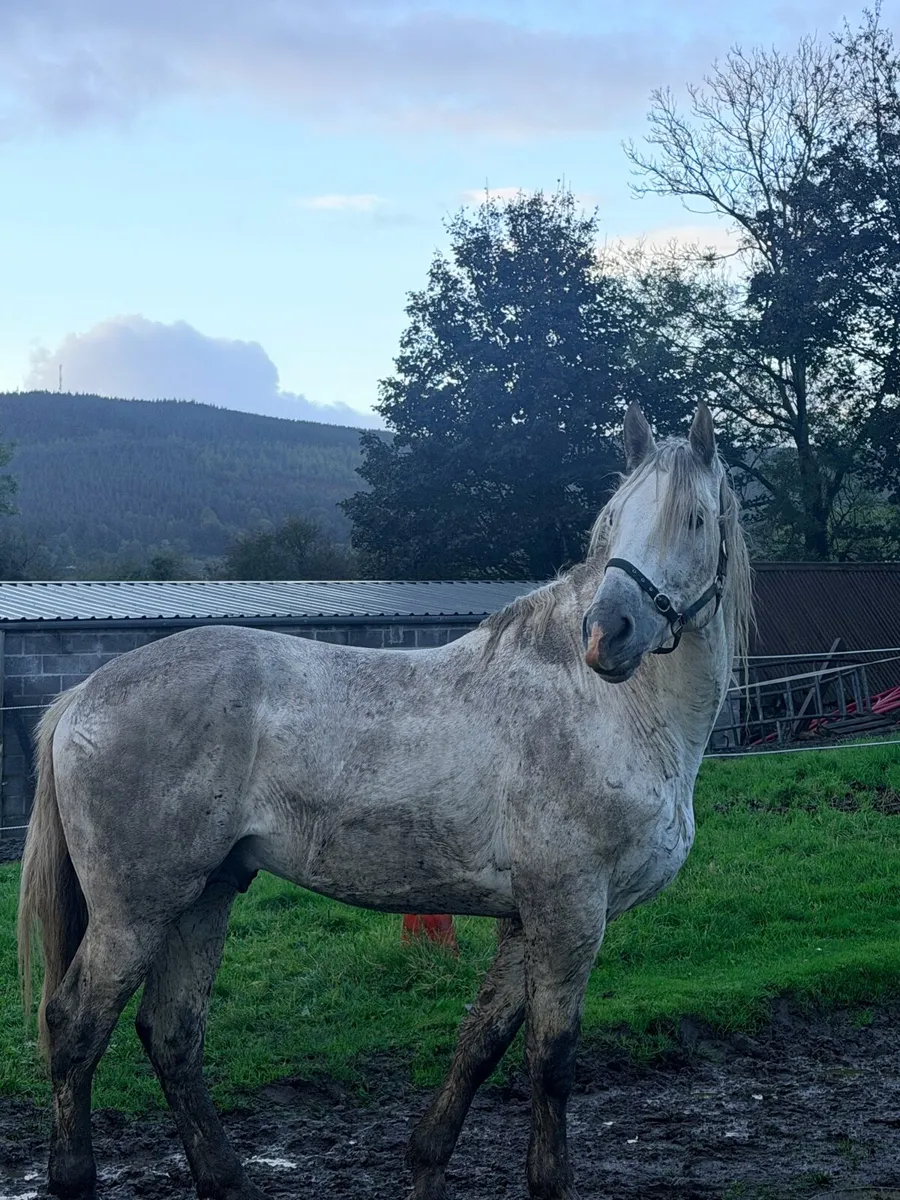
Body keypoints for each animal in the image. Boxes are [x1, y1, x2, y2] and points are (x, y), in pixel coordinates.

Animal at [18, 402, 752, 1200]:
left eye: (693, 520)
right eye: (611, 522)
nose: (604, 633)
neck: (610, 709)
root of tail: (83, 694)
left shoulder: (528, 916)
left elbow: (481, 1040)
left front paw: (426, 1162)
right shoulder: (570, 911)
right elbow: (551, 1059)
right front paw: (547, 1182)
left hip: (205, 893)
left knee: (172, 1031)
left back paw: (227, 1180)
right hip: (136, 910)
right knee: (76, 1027)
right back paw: (75, 1178)